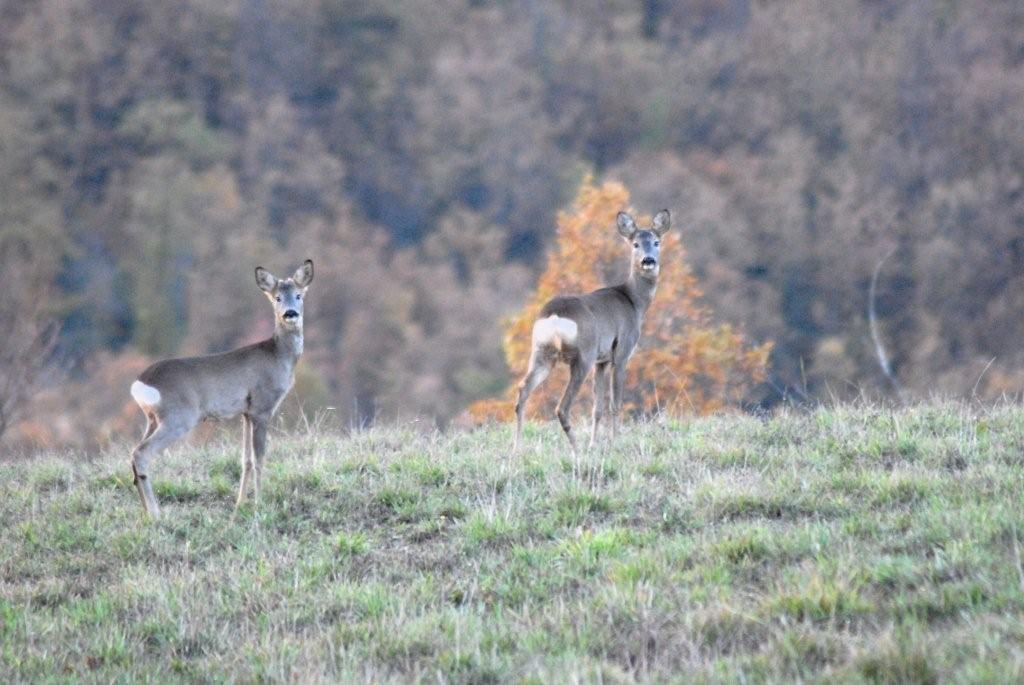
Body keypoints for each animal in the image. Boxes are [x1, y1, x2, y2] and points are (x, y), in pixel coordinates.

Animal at [130, 259, 311, 516]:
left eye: (298, 295)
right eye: (277, 297)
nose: (290, 313)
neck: (279, 356)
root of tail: (140, 383)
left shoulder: (246, 412)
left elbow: (246, 460)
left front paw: (240, 503)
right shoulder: (262, 407)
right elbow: (259, 459)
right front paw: (259, 503)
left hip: (153, 418)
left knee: (133, 453)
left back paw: (146, 512)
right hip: (179, 417)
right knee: (141, 453)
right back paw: (156, 513)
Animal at [512, 208, 671, 454]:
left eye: (656, 242)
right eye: (635, 244)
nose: (648, 260)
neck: (634, 301)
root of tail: (554, 317)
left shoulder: (601, 360)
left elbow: (598, 407)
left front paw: (595, 443)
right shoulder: (621, 352)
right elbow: (615, 403)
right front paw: (615, 442)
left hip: (541, 353)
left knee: (522, 393)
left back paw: (516, 450)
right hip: (582, 356)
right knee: (561, 407)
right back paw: (576, 450)